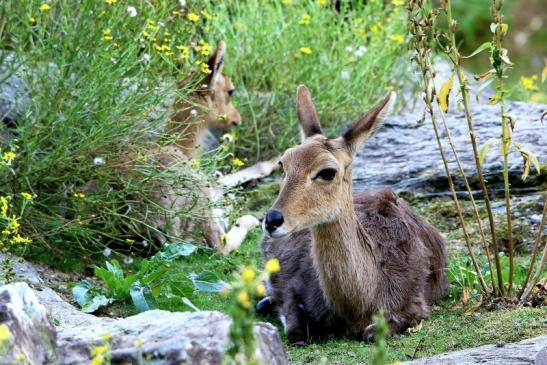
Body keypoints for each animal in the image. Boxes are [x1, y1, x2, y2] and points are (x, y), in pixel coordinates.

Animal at [262, 85, 450, 342]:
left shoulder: (414, 303)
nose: (272, 220)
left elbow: (373, 332)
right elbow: (295, 330)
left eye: (327, 171)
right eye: (283, 164)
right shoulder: (293, 288)